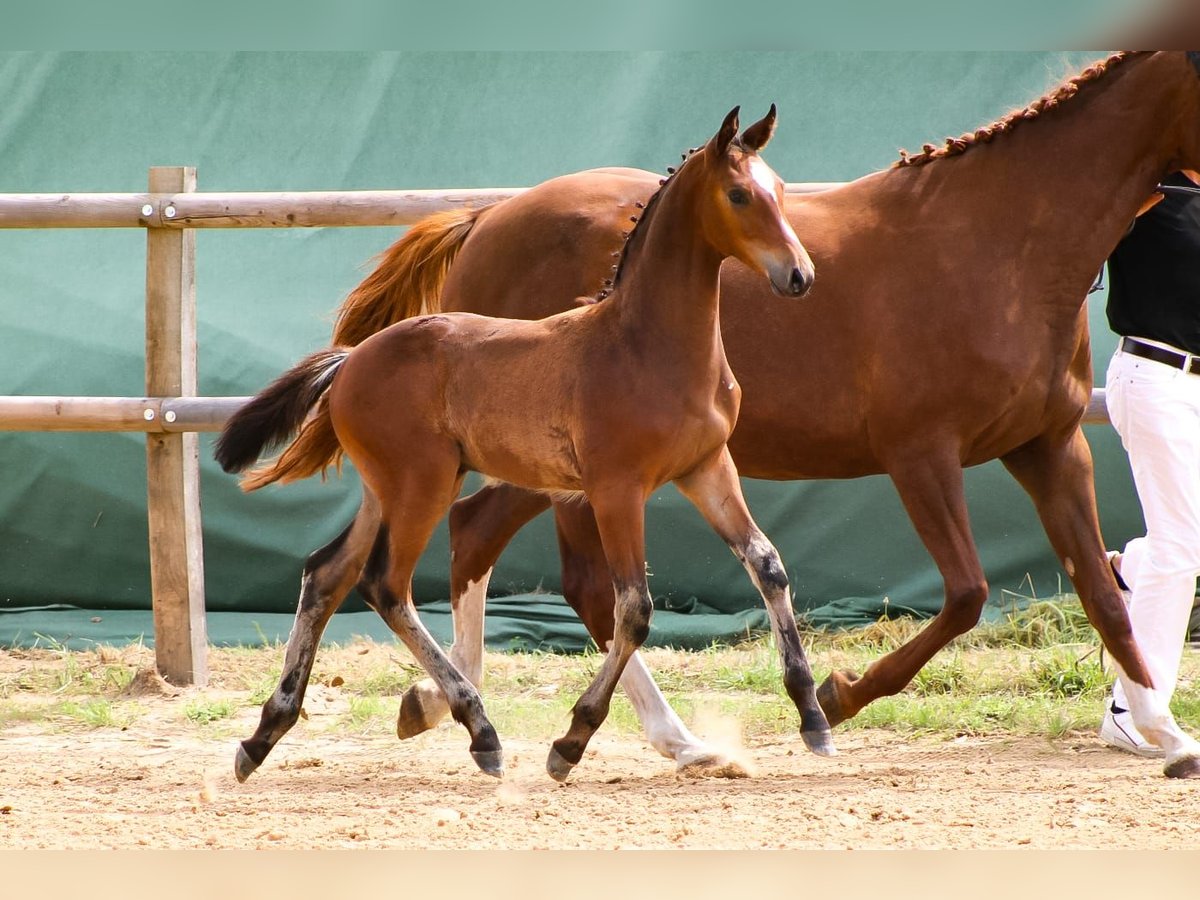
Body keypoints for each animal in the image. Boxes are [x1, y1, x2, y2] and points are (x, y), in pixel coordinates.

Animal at [216, 103, 830, 782]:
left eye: (781, 190)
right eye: (739, 194)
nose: (799, 275)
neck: (645, 344)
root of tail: (350, 361)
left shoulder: (707, 468)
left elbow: (767, 565)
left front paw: (813, 716)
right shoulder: (616, 490)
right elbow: (633, 609)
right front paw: (571, 741)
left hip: (390, 489)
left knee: (328, 573)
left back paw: (263, 735)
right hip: (424, 487)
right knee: (386, 584)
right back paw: (478, 728)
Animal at [331, 52, 1200, 777]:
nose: (797, 276)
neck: (998, 241)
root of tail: (486, 219)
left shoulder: (1051, 447)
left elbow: (1104, 593)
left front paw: (1164, 734)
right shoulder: (921, 453)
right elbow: (965, 595)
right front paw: (839, 697)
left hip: (553, 471)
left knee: (507, 548)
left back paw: (477, 708)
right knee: (531, 564)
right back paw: (531, 718)